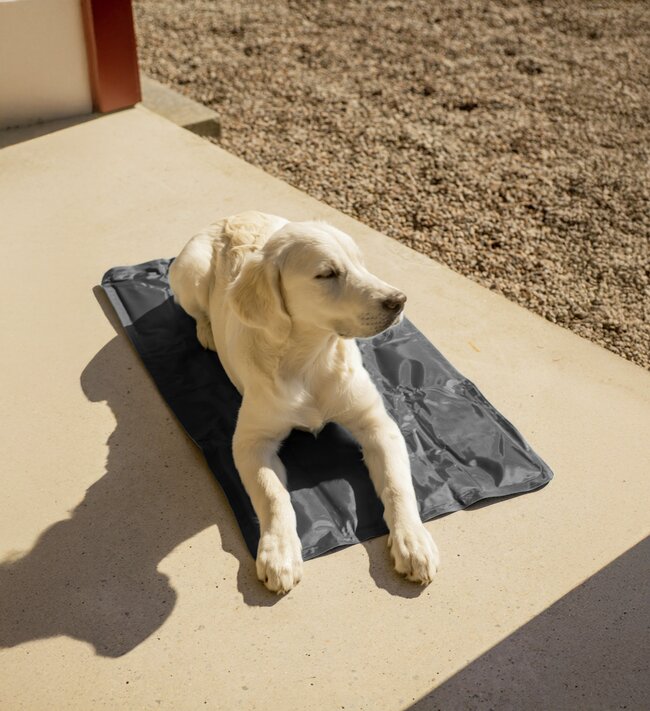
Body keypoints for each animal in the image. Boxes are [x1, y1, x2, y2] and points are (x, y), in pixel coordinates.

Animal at [169, 211, 440, 593]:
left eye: (361, 262)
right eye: (326, 274)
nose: (399, 300)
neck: (310, 359)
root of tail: (230, 216)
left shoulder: (378, 425)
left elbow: (398, 484)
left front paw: (413, 541)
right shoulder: (249, 442)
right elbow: (273, 495)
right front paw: (280, 551)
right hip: (190, 273)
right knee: (197, 311)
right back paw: (207, 329)